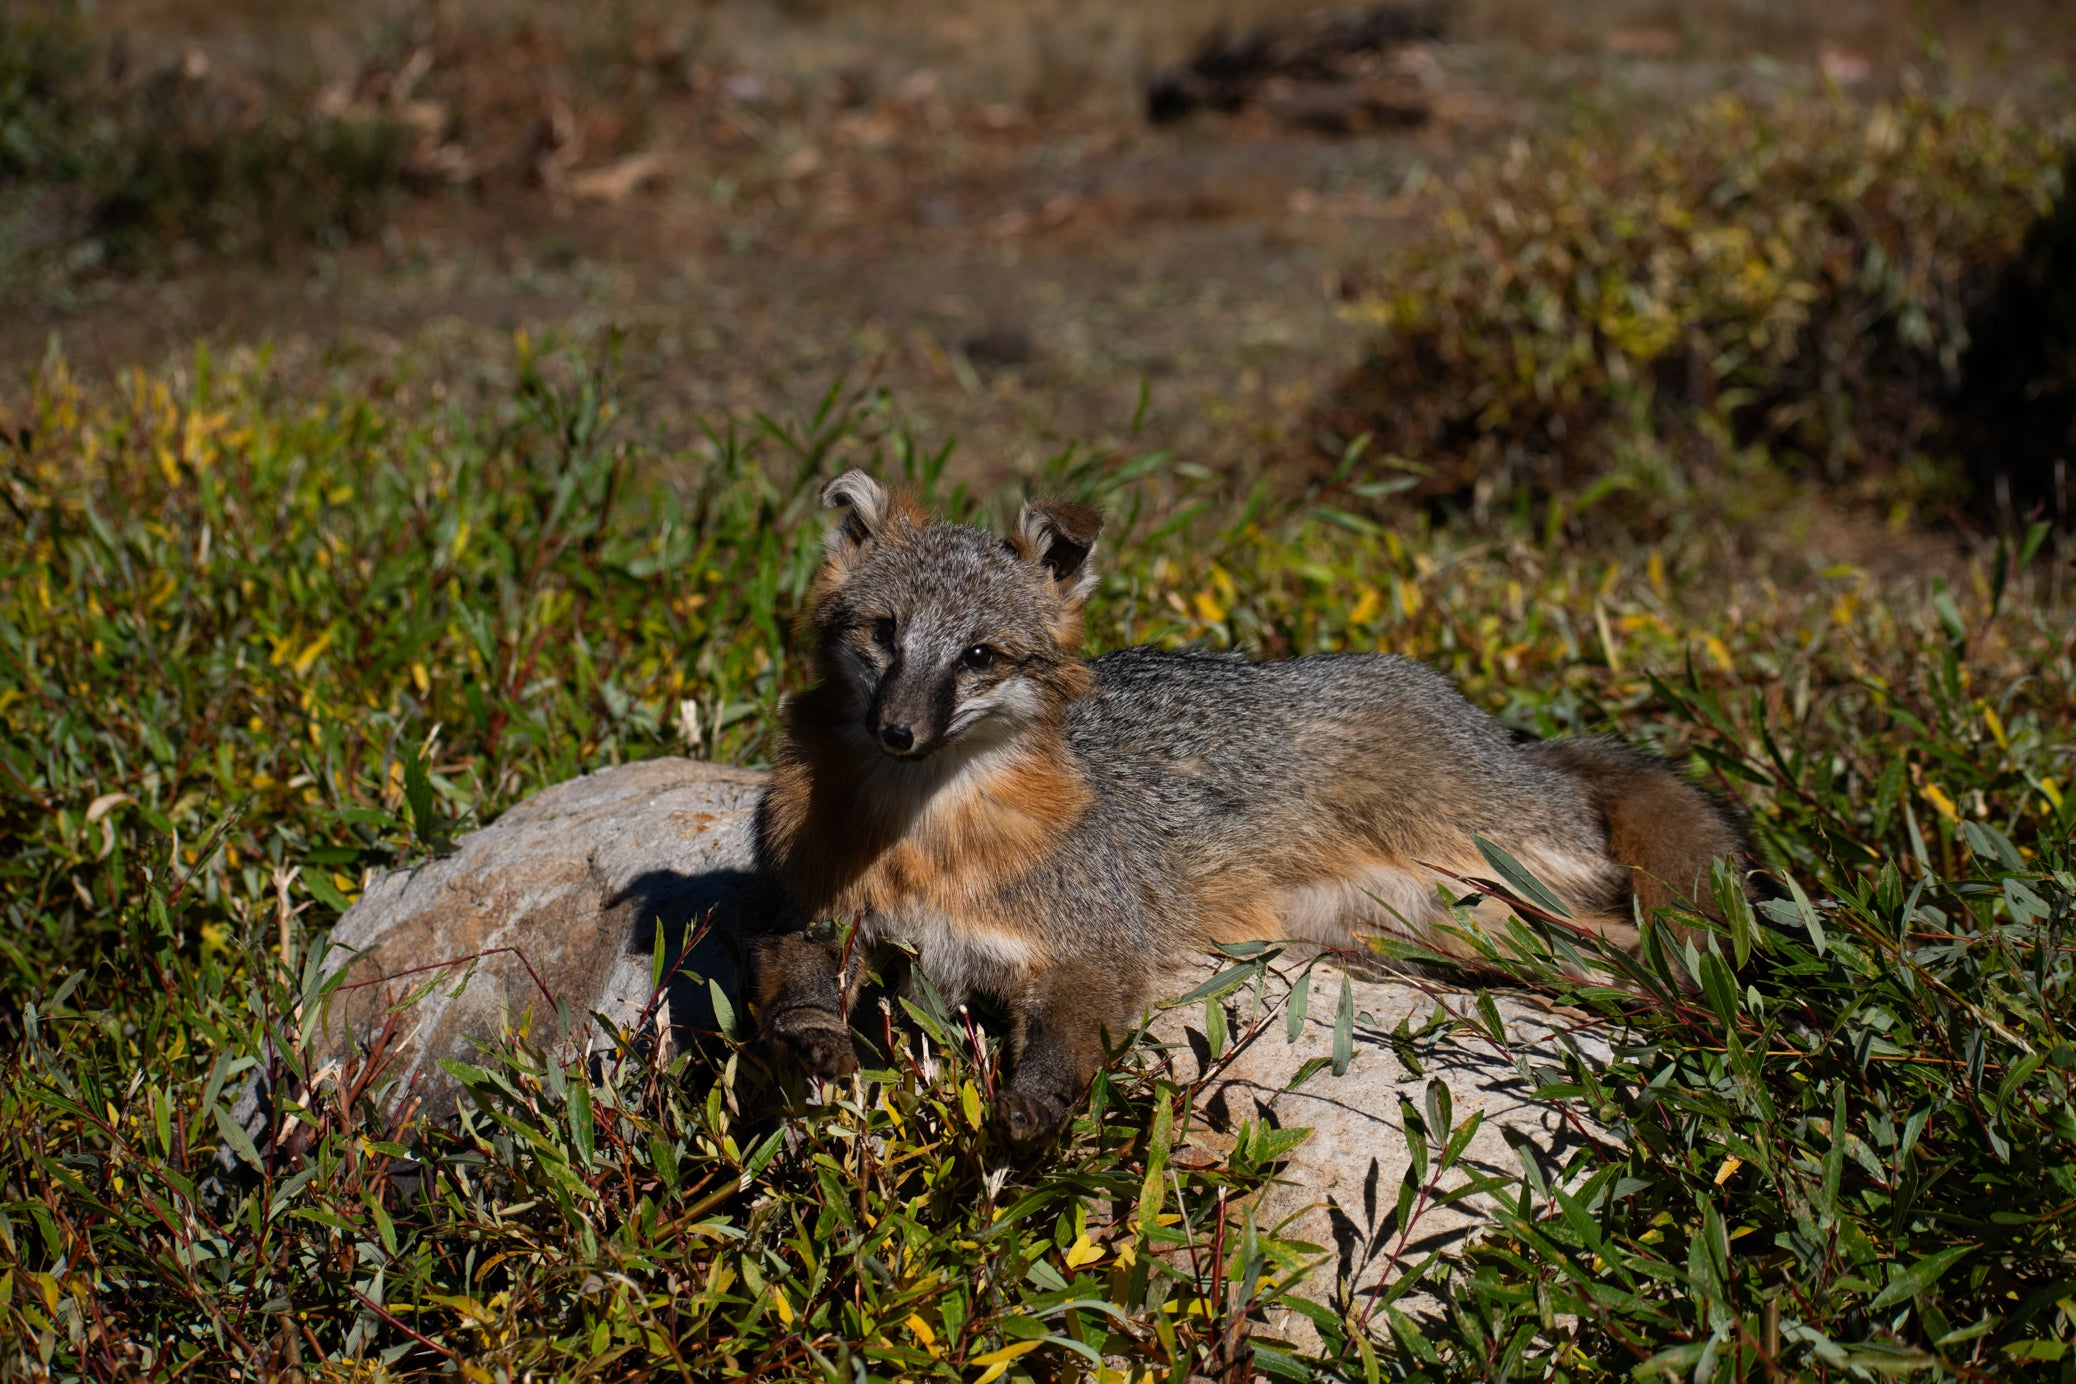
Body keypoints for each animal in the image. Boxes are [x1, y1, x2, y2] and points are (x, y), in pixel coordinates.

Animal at [752, 470, 1758, 1141]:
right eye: (884, 632)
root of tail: (1503, 736)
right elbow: (792, 971)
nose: (898, 731)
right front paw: (815, 1037)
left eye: (979, 658)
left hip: (1511, 900)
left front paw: (1034, 1102)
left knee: (1641, 944)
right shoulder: (811, 907)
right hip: (1442, 928)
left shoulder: (1095, 945)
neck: (923, 844)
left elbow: (1072, 1030)